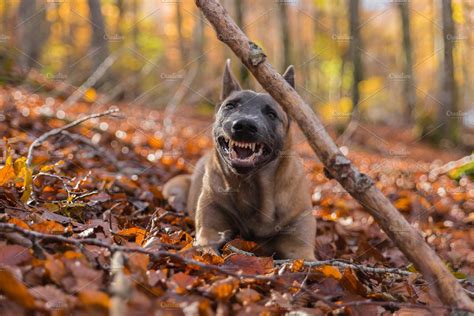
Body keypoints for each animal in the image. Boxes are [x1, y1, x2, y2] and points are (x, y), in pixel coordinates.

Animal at [165, 59, 316, 260]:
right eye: (230, 106)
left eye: (271, 114)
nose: (244, 125)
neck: (252, 185)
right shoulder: (210, 230)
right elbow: (208, 248)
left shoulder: (299, 247)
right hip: (173, 186)